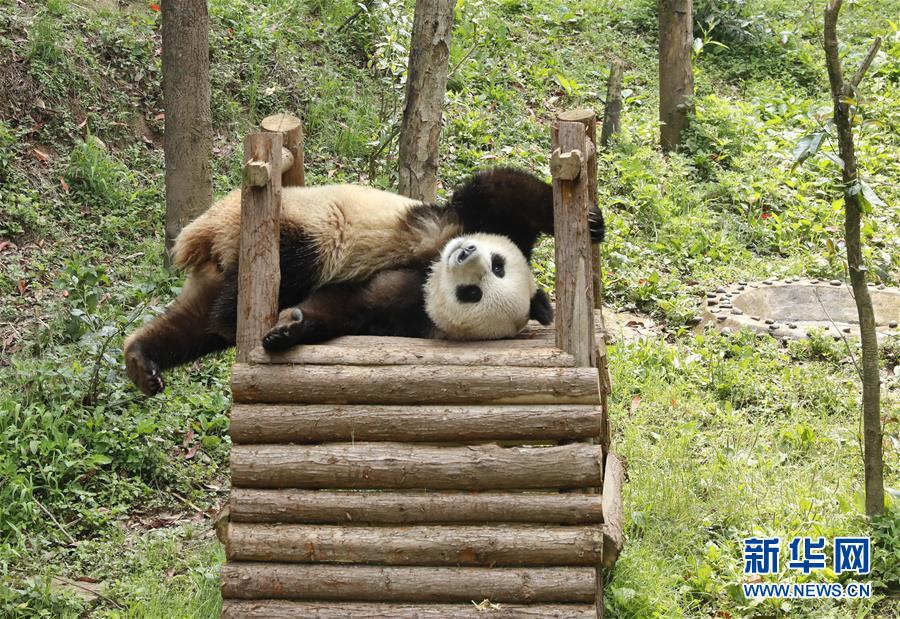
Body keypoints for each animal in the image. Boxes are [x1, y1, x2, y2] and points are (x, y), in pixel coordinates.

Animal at [124, 167, 605, 395]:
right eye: (498, 265)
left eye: (474, 293)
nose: (466, 255)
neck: (430, 271)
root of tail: (204, 239)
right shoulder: (463, 221)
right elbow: (502, 192)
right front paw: (589, 219)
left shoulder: (403, 306)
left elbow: (347, 306)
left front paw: (289, 329)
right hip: (293, 220)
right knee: (302, 253)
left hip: (221, 270)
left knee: (196, 324)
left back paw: (145, 359)